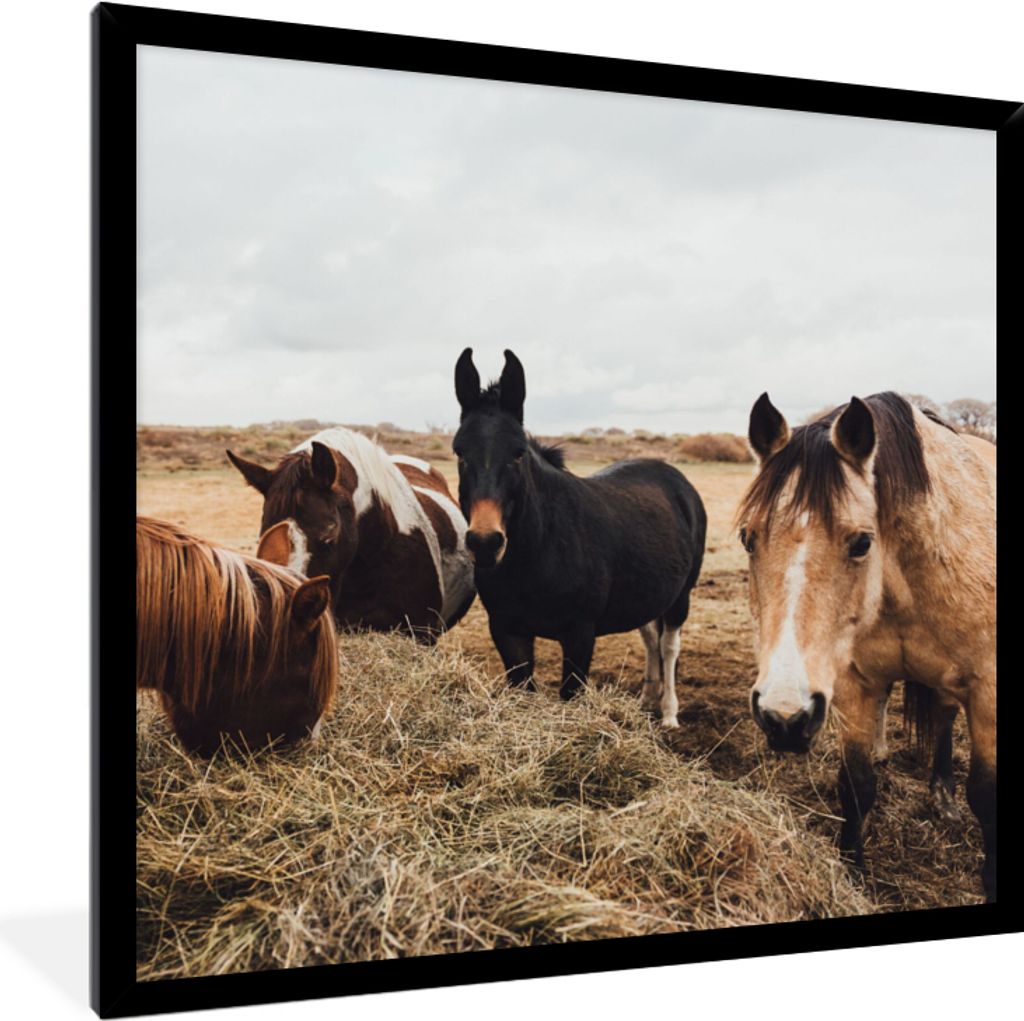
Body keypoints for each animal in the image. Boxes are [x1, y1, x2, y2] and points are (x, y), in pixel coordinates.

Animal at [452, 349, 706, 728]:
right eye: (459, 453)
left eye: (518, 452)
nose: (485, 543)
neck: (540, 550)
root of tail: (677, 479)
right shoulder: (507, 629)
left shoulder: (579, 634)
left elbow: (571, 693)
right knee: (650, 639)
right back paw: (646, 700)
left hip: (681, 597)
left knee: (669, 646)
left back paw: (669, 714)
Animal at [736, 392, 996, 899]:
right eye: (747, 538)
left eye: (861, 543)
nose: (783, 717)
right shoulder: (853, 683)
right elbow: (856, 785)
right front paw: (853, 875)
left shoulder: (988, 691)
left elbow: (987, 796)